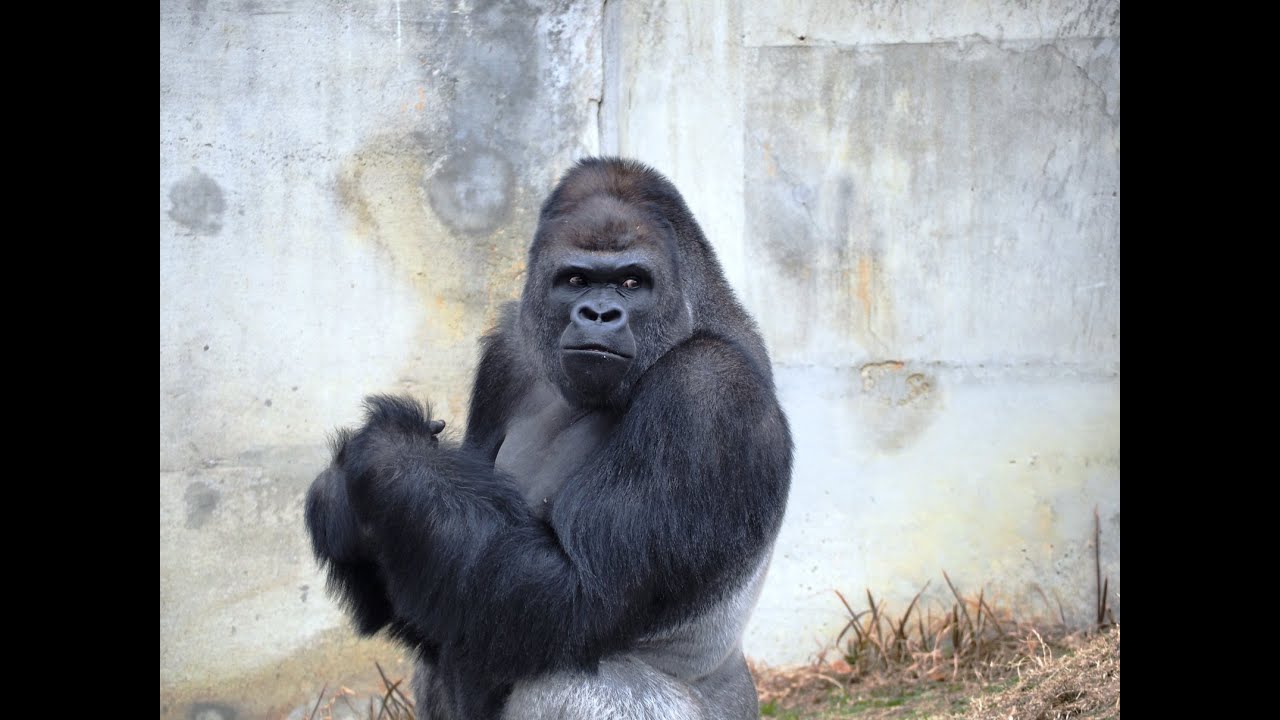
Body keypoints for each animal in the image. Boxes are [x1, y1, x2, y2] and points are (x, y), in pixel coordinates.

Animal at [307, 158, 788, 717]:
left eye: (632, 282)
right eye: (575, 280)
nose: (599, 314)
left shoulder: (707, 389)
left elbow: (578, 593)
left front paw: (387, 459)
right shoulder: (508, 351)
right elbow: (439, 590)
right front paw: (339, 503)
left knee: (577, 680)